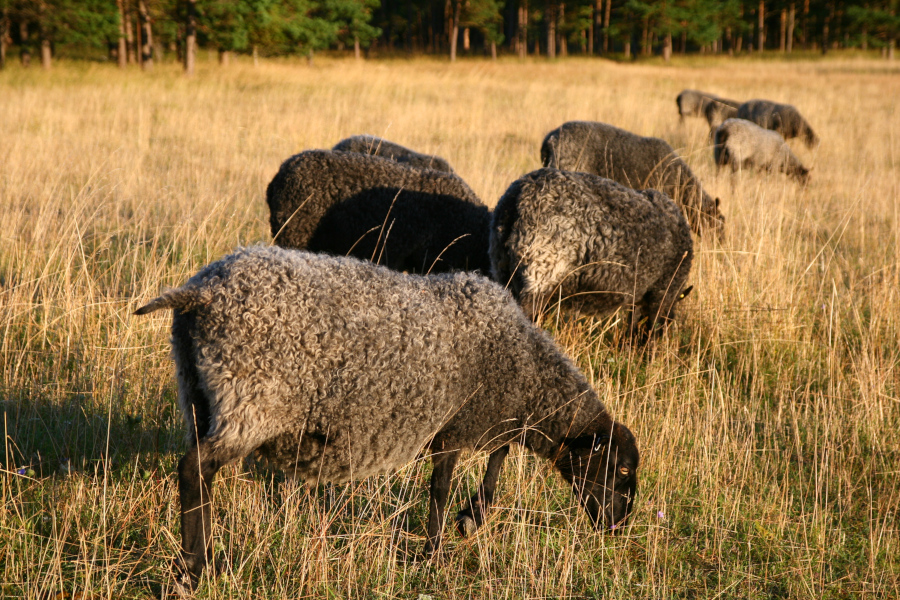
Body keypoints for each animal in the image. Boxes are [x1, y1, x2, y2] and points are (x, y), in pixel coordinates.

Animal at [134, 245, 640, 592]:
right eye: (621, 470)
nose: (619, 527)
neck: (521, 365)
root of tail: (201, 291)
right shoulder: (455, 425)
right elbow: (441, 488)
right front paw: (435, 553)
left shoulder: (489, 416)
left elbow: (498, 455)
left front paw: (472, 516)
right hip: (251, 398)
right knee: (194, 470)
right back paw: (194, 569)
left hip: (198, 394)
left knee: (199, 475)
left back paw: (198, 562)